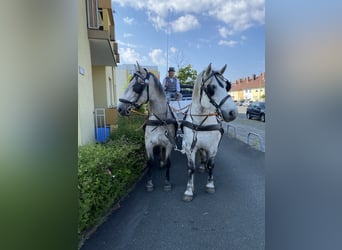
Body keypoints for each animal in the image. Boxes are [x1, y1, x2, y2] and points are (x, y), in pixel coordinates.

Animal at [117, 62, 178, 191]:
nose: (119, 108)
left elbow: (169, 162)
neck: (160, 120)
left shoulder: (169, 144)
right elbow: (149, 162)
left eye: (136, 86)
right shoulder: (149, 144)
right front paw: (149, 183)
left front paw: (167, 182)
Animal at [180, 64, 236, 201]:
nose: (233, 112)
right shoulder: (190, 148)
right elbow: (191, 168)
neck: (200, 122)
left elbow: (211, 165)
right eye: (211, 88)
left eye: (227, 86)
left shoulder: (212, 147)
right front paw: (189, 190)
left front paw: (210, 185)